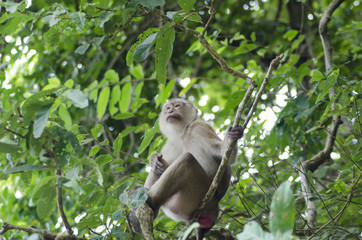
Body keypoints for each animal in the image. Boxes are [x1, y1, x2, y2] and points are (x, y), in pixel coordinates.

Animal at [134, 98, 242, 239]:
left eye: (177, 106)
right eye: (167, 108)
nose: (170, 110)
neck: (182, 133)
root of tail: (214, 208)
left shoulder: (199, 127)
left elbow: (226, 156)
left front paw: (232, 136)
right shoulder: (170, 144)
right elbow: (162, 162)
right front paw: (153, 159)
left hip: (198, 196)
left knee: (187, 160)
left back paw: (150, 203)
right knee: (161, 167)